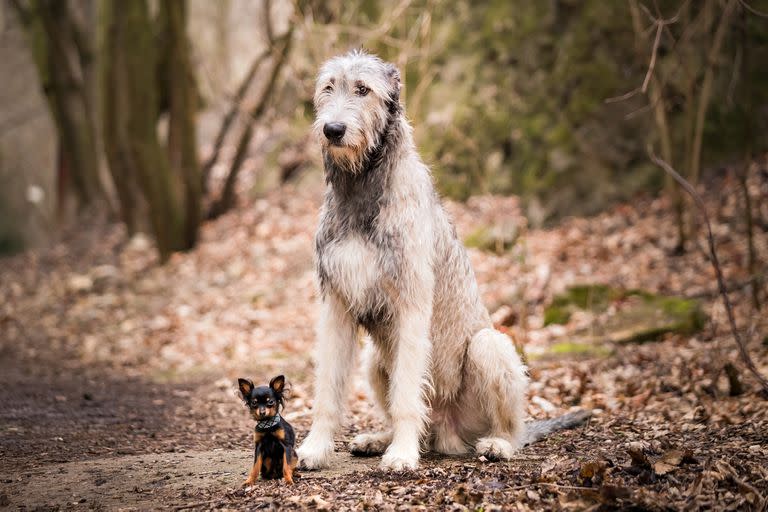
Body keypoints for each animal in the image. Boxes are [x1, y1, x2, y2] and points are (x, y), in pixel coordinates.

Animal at [296, 50, 584, 470]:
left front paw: (402, 454)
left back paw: (495, 443)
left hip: (489, 349)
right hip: (373, 360)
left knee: (509, 423)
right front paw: (316, 447)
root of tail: (444, 434)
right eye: (328, 87)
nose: (333, 129)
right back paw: (381, 438)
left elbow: (405, 394)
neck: (361, 186)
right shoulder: (335, 303)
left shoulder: (411, 303)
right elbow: (327, 391)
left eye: (363, 89)